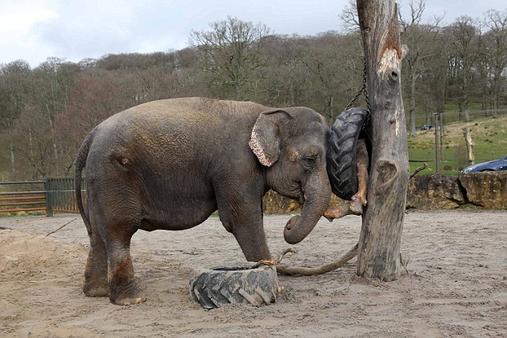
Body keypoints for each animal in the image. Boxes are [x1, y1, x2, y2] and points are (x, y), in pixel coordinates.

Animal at [74, 96, 334, 304]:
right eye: (310, 159)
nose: (289, 222)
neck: (268, 110)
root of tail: (91, 136)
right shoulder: (235, 167)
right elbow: (241, 221)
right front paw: (274, 285)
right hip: (113, 174)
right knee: (119, 231)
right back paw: (132, 300)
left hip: (98, 180)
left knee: (98, 234)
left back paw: (97, 293)